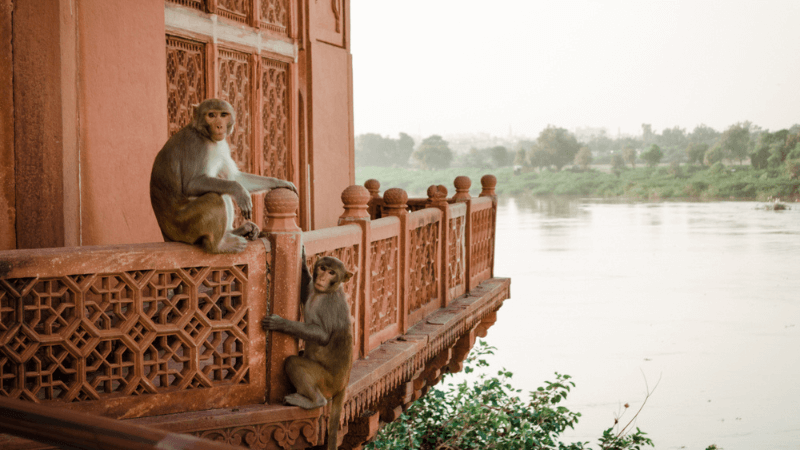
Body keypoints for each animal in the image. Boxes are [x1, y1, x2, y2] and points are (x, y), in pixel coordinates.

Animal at [148, 98, 296, 253]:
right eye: (211, 115)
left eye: (223, 115)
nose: (219, 126)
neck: (205, 136)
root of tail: (167, 236)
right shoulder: (195, 145)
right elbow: (192, 184)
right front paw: (239, 191)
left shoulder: (221, 145)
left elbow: (235, 177)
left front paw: (279, 182)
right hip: (184, 227)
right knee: (214, 198)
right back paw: (218, 245)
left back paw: (235, 231)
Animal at [262, 255, 354, 448]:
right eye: (323, 268)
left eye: (332, 272)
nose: (322, 278)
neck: (323, 292)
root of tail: (343, 384)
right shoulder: (312, 288)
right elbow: (305, 288)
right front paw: (303, 260)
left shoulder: (327, 306)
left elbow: (323, 336)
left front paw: (281, 323)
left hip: (326, 381)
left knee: (293, 362)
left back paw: (314, 401)